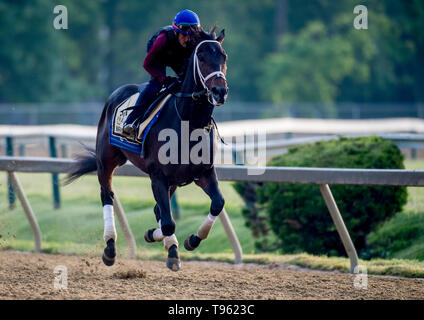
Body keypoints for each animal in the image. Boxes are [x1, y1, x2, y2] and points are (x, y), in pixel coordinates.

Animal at [67, 27, 229, 272]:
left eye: (223, 56)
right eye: (201, 57)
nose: (220, 91)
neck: (188, 122)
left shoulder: (203, 172)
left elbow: (216, 204)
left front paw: (190, 240)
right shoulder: (158, 176)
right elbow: (169, 222)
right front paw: (167, 245)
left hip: (172, 181)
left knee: (157, 210)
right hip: (106, 161)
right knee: (107, 195)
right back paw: (110, 247)